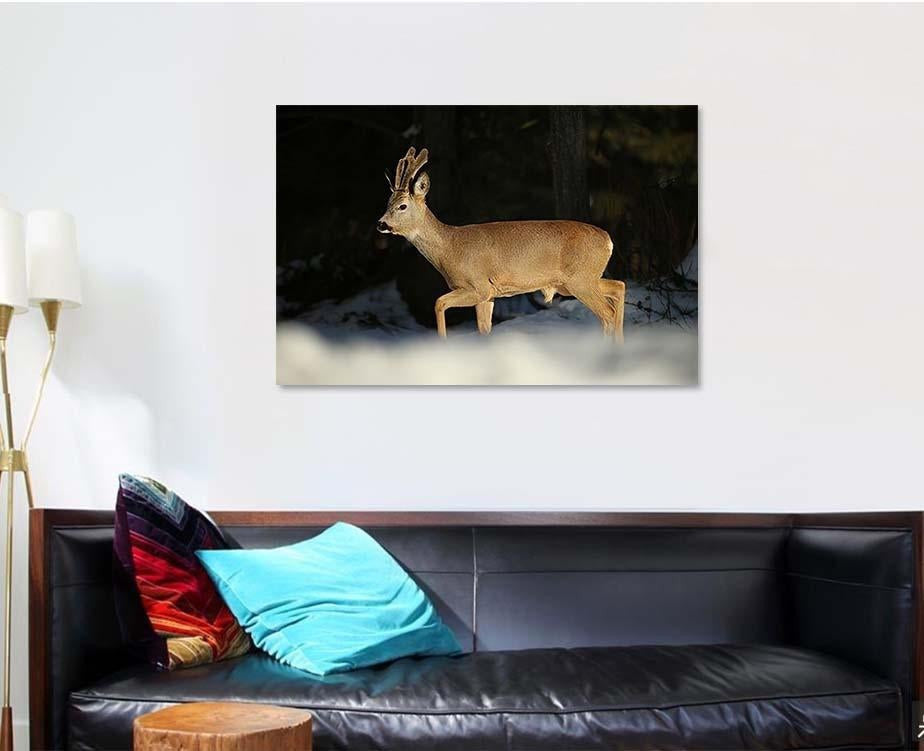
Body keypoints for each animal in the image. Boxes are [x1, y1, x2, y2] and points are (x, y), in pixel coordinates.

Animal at [377, 147, 626, 342]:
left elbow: (439, 302)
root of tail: (608, 239)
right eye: (388, 203)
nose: (381, 223)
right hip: (580, 280)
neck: (450, 247)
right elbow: (484, 330)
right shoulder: (489, 295)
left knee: (607, 312)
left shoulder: (478, 286)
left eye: (402, 206)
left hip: (580, 280)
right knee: (619, 287)